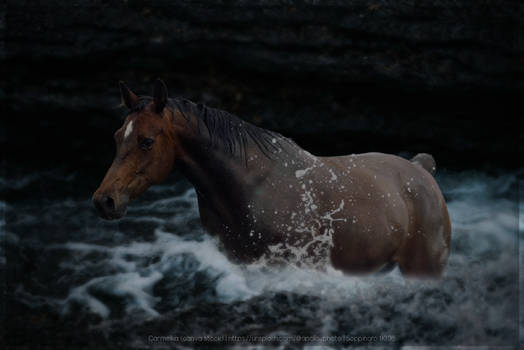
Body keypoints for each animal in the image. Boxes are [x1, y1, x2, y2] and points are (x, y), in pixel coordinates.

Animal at [93, 80, 450, 278]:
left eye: (146, 141)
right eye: (116, 137)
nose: (104, 201)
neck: (252, 188)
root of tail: (421, 169)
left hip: (423, 268)